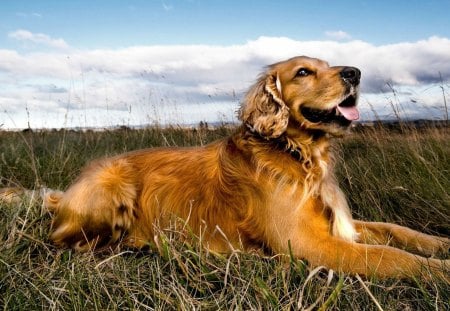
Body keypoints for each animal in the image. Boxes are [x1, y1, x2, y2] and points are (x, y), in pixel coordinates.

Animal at [1, 56, 448, 280]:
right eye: (303, 71)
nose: (355, 73)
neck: (299, 154)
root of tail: (65, 194)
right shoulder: (308, 244)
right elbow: (394, 257)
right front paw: (442, 272)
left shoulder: (340, 224)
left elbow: (398, 232)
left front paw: (441, 245)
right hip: (112, 185)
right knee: (68, 241)